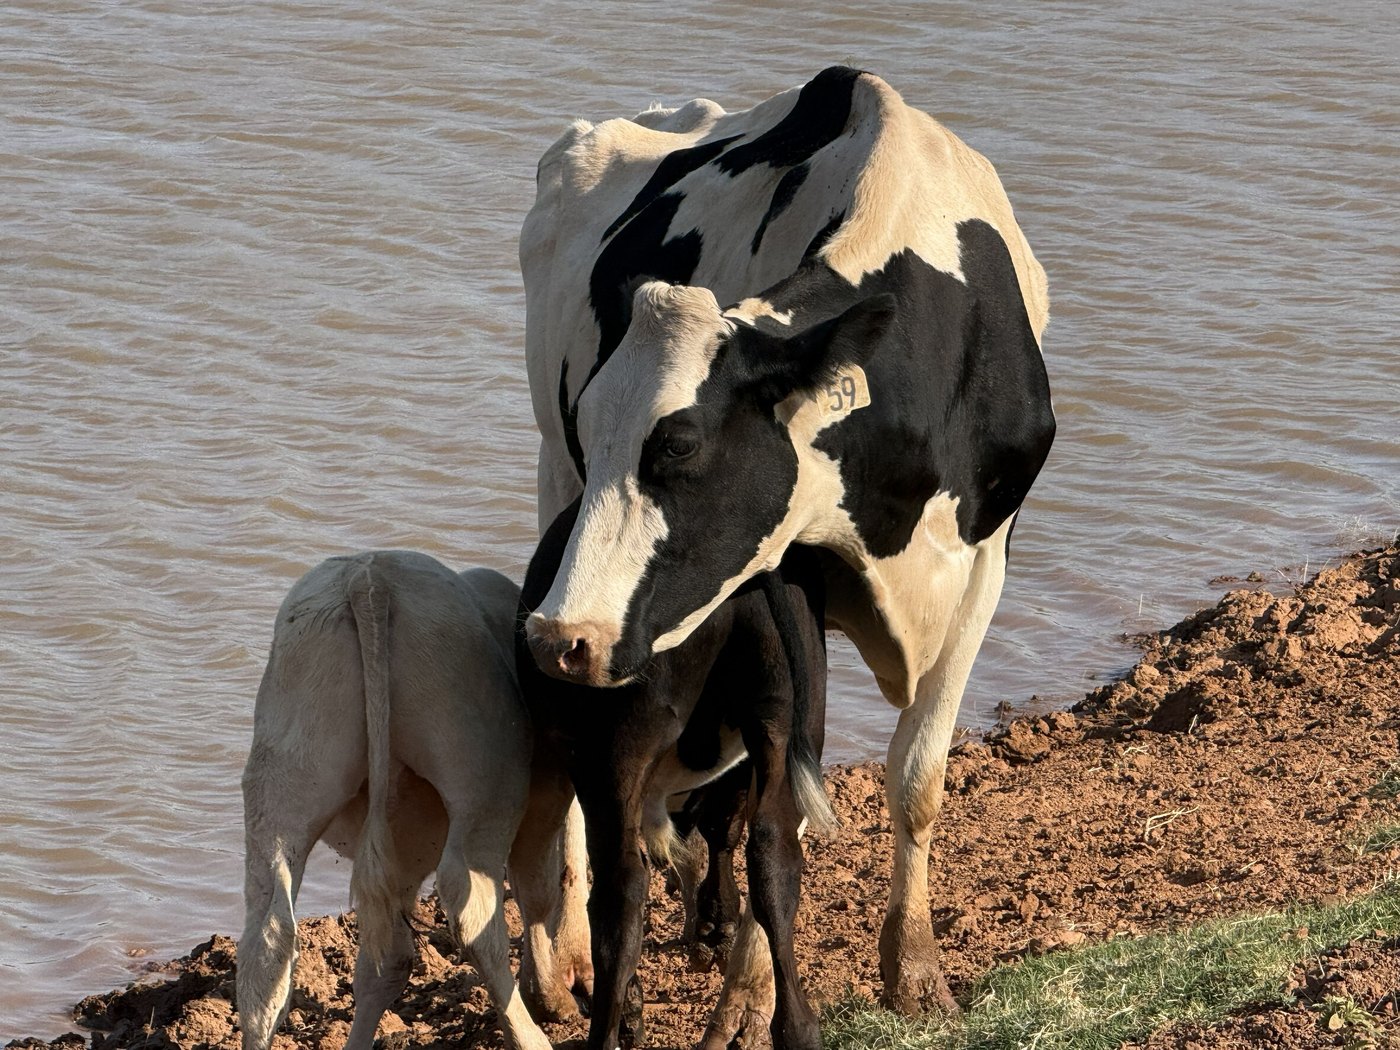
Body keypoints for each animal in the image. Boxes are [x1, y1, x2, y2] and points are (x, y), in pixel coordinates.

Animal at [237, 551, 581, 1050]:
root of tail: (371, 573)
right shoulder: (545, 799)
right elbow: (537, 894)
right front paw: (551, 996)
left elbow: (383, 964)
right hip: (484, 785)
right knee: (472, 908)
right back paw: (529, 1035)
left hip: (284, 782)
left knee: (268, 939)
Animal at [519, 502, 832, 1050]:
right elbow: (725, 829)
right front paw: (715, 922)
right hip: (783, 717)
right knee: (773, 852)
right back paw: (796, 1027)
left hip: (612, 757)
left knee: (622, 889)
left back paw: (613, 1025)